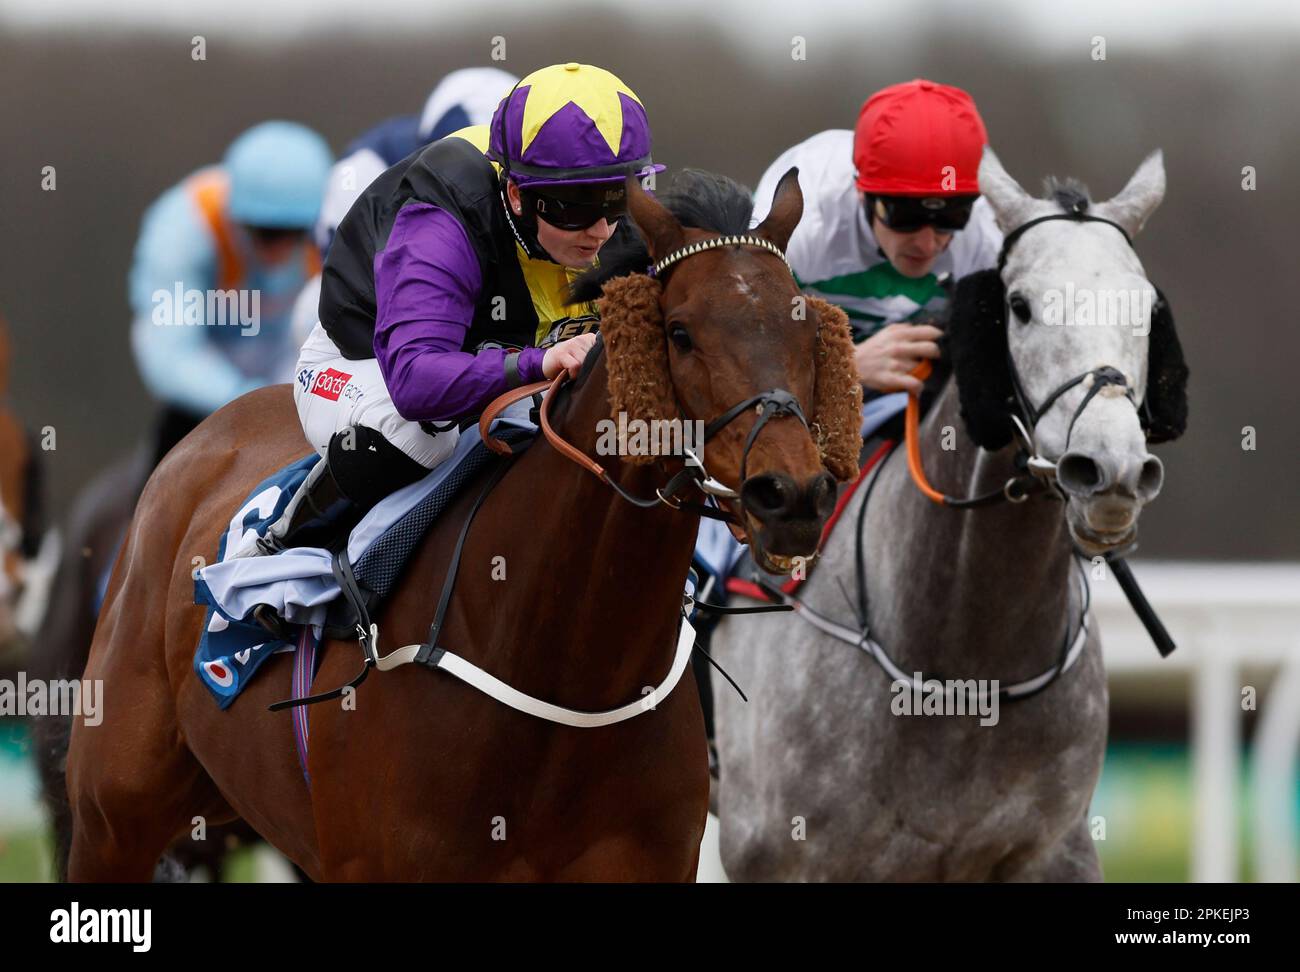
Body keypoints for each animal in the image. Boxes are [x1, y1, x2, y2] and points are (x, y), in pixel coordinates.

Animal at [712, 150, 1190, 878]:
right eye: (1019, 306)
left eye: (1146, 308)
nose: (1111, 470)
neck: (968, 658)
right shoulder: (781, 853)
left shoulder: (1053, 848)